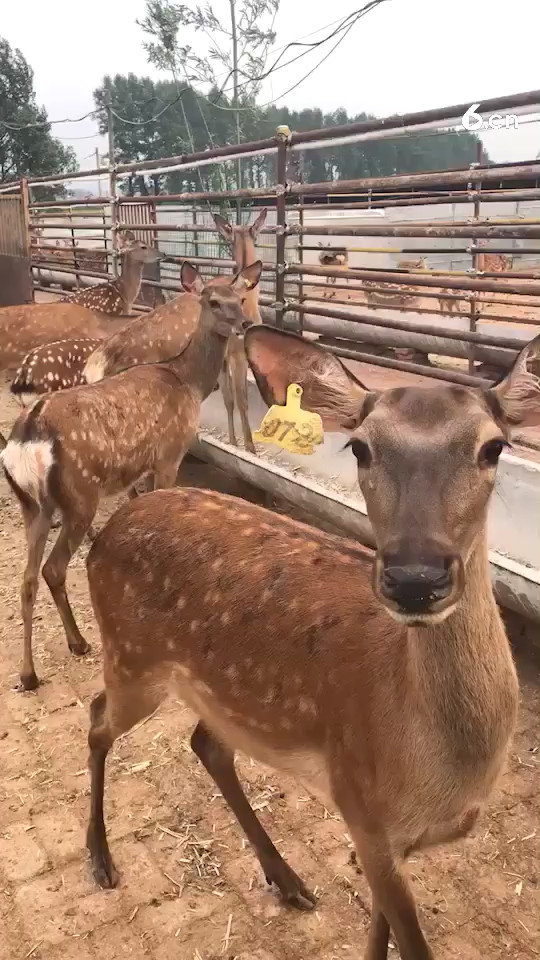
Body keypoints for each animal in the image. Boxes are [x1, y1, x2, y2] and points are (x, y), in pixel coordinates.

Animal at [0, 260, 262, 692]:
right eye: (213, 301)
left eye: (240, 297)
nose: (243, 324)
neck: (187, 381)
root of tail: (28, 434)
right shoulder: (169, 454)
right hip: (80, 494)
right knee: (53, 568)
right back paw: (78, 642)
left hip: (32, 505)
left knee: (26, 579)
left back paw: (29, 673)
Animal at [80, 323, 540, 960]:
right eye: (360, 448)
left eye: (494, 447)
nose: (415, 577)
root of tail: (105, 535)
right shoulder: (363, 810)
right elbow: (408, 941)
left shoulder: (381, 838)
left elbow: (379, 932)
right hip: (131, 659)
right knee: (97, 717)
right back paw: (101, 858)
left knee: (205, 742)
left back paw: (287, 878)